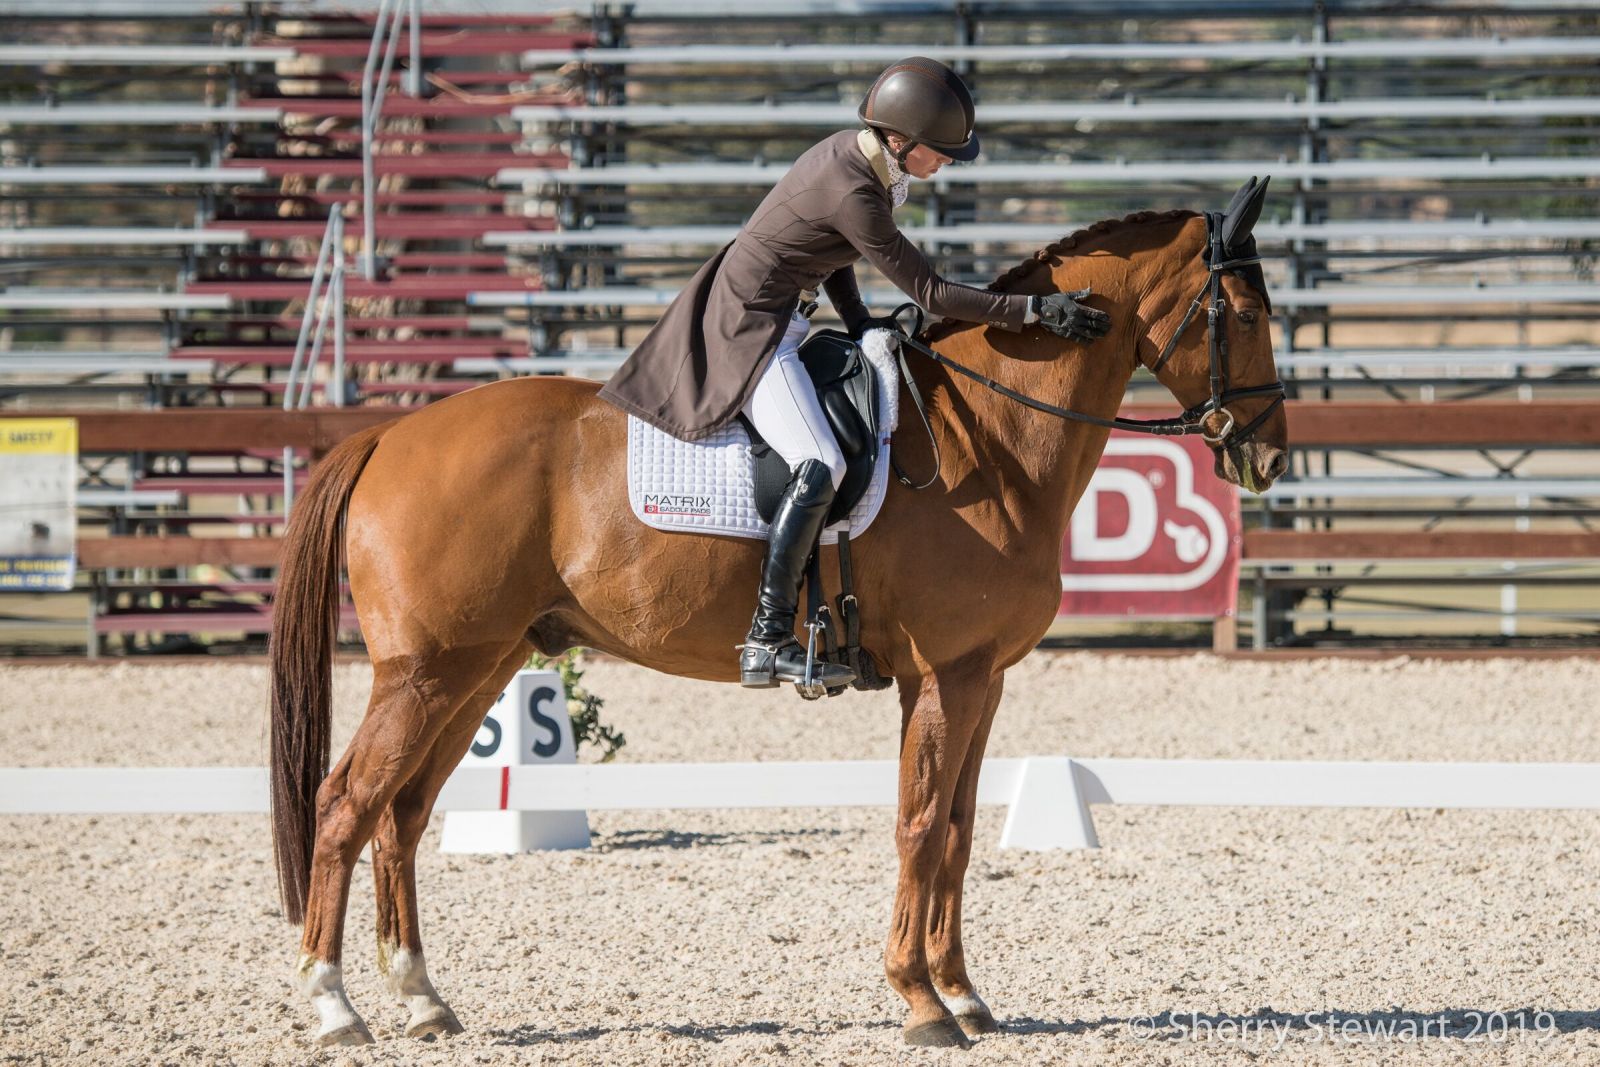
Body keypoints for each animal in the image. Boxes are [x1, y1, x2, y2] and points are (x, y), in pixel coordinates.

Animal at [268, 182, 1290, 1050]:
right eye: (1244, 315)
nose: (1269, 457)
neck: (990, 436)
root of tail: (387, 434)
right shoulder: (943, 675)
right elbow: (921, 823)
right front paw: (921, 1002)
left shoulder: (982, 678)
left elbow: (959, 828)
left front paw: (964, 993)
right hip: (428, 671)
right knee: (345, 803)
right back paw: (333, 1005)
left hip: (480, 665)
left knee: (401, 812)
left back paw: (422, 1000)